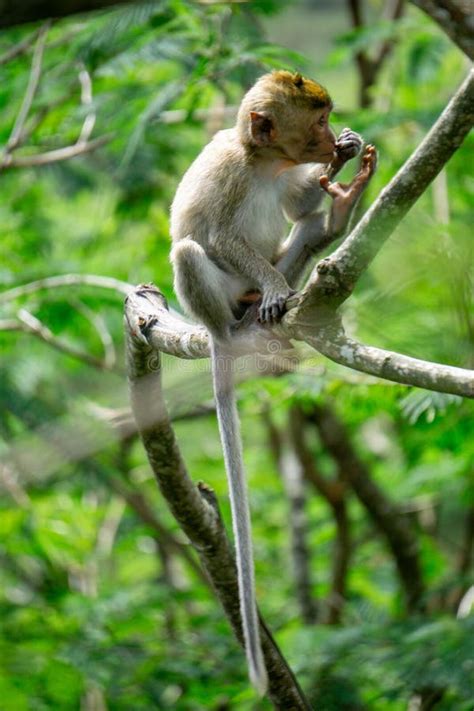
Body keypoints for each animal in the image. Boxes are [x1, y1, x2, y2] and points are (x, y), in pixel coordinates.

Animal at [168, 69, 376, 692]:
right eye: (317, 120)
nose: (331, 137)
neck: (263, 162)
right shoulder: (229, 173)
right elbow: (217, 237)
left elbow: (297, 202)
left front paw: (346, 162)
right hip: (217, 296)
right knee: (191, 250)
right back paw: (242, 319)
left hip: (283, 264)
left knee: (303, 228)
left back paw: (334, 224)